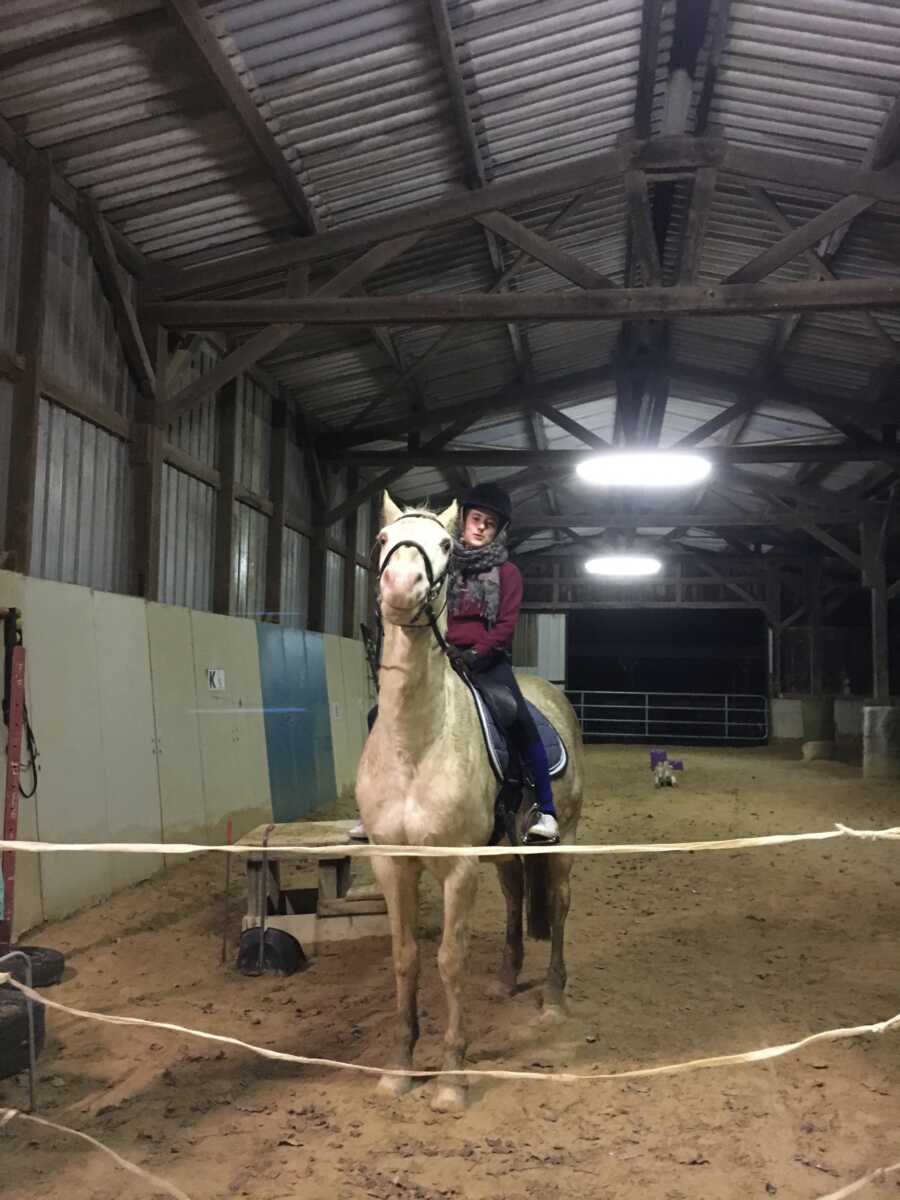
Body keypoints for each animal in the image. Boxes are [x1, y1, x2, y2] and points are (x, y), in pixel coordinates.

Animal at [355, 492, 588, 1108]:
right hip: (504, 844)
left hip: (564, 839)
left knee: (558, 904)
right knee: (513, 894)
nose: (401, 586)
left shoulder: (457, 866)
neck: (415, 744)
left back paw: (553, 998)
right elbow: (405, 958)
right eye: (383, 541)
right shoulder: (393, 863)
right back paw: (508, 979)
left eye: (445, 544)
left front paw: (452, 1076)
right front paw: (399, 1066)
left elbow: (449, 959)